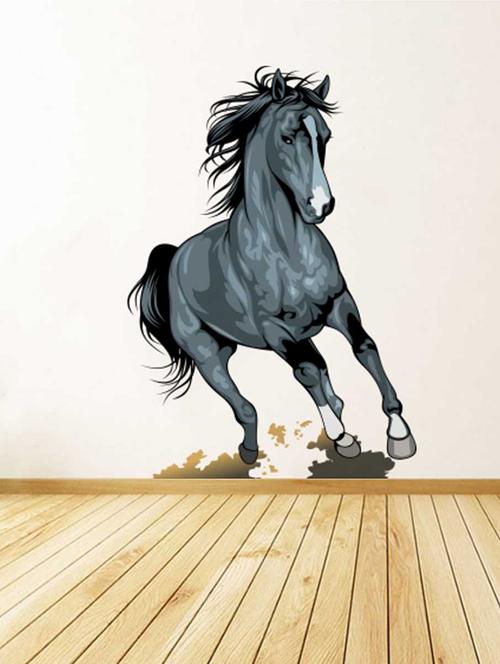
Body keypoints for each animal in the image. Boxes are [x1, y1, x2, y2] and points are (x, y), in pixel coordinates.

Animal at [128, 67, 417, 465]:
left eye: (325, 136)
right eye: (287, 137)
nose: (321, 205)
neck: (286, 251)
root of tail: (174, 257)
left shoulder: (339, 304)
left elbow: (364, 347)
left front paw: (398, 431)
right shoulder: (274, 330)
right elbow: (308, 372)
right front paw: (342, 438)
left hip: (269, 340)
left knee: (321, 375)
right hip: (207, 354)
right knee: (247, 406)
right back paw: (250, 450)